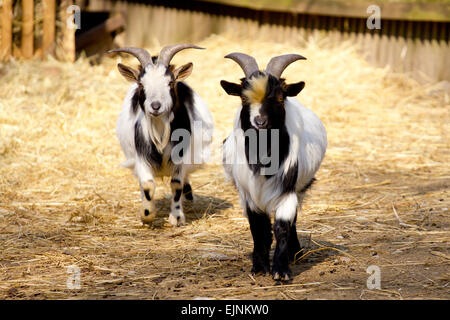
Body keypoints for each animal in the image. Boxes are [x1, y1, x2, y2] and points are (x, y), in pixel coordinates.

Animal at [110, 43, 214, 226]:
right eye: (141, 84)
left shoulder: (181, 159)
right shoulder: (141, 158)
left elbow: (177, 184)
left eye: (170, 82)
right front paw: (147, 214)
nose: (156, 106)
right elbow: (147, 185)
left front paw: (176, 218)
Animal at [221, 52, 326, 280]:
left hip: (301, 188)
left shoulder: (287, 190)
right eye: (244, 98)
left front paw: (281, 270)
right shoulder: (248, 194)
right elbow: (259, 229)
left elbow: (282, 226)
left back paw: (295, 253)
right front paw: (260, 266)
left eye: (279, 98)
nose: (259, 121)